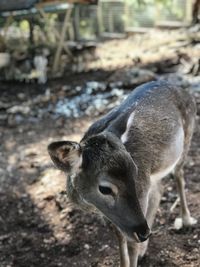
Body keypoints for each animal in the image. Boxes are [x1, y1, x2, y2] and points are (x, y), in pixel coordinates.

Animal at [48, 81, 197, 267]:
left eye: (135, 171)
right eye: (105, 189)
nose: (144, 233)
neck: (90, 205)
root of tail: (182, 89)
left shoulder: (142, 189)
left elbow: (131, 243)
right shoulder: (111, 212)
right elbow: (119, 235)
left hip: (187, 137)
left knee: (179, 175)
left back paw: (186, 221)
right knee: (159, 190)